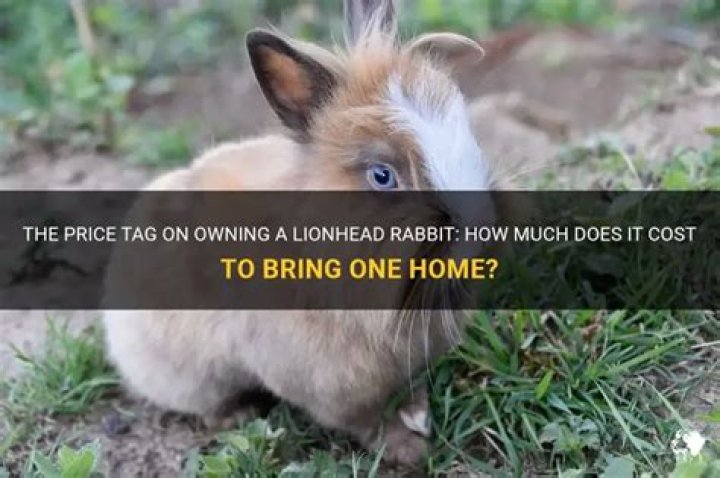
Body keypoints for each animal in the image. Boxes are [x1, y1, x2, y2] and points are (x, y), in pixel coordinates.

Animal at [103, 0, 495, 467]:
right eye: (382, 176)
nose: (478, 232)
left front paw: (417, 411)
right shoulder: (331, 389)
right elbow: (366, 422)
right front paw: (410, 451)